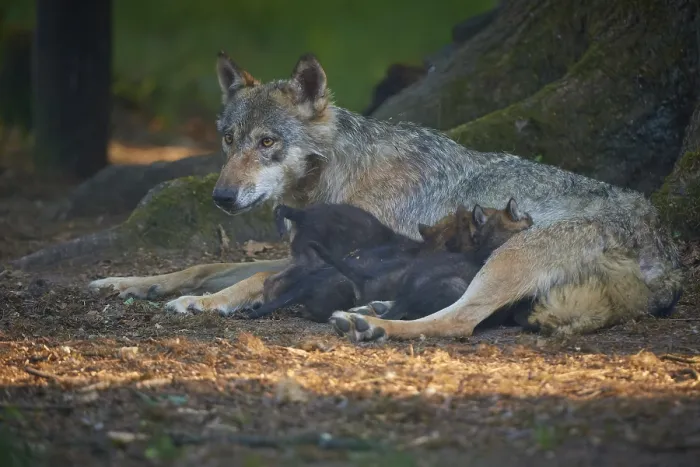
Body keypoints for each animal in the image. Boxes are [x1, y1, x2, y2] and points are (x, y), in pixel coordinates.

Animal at [88, 52, 682, 341]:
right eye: (229, 141)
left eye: (267, 143)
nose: (222, 197)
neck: (339, 173)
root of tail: (667, 260)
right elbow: (202, 265)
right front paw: (129, 283)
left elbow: (249, 279)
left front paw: (204, 304)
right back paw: (368, 309)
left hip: (509, 258)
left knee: (458, 322)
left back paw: (371, 323)